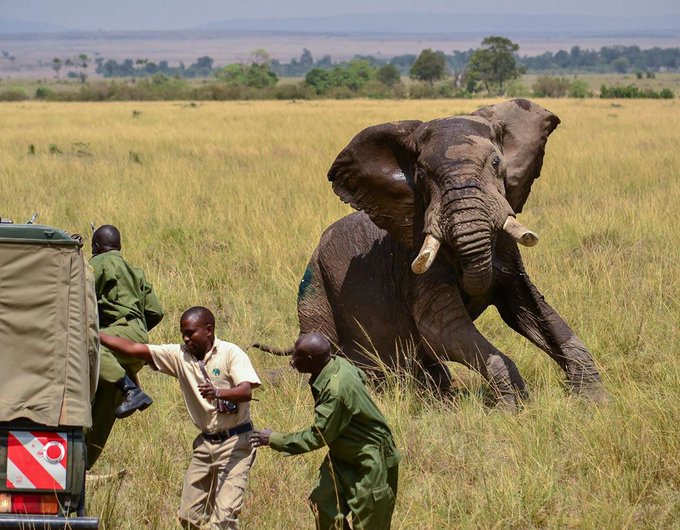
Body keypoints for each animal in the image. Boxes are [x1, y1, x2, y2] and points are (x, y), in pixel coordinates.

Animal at [259, 99, 605, 407]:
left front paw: (592, 400)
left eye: (496, 163)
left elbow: (530, 309)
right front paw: (513, 407)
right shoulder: (416, 264)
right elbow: (439, 328)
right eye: (422, 174)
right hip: (315, 285)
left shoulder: (507, 251)